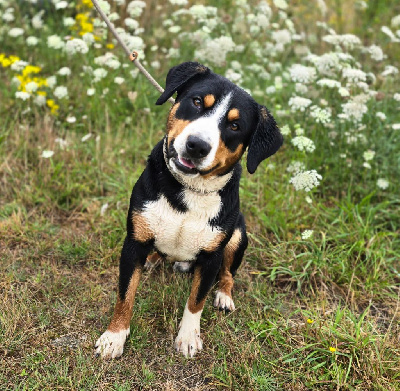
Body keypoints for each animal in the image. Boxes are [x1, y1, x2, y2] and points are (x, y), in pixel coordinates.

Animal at [94, 62, 282, 360]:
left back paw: (224, 296)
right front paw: (115, 337)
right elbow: (125, 295)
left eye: (235, 125)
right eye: (197, 102)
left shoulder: (212, 256)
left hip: (238, 235)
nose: (197, 145)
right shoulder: (133, 244)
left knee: (228, 274)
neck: (189, 190)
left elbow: (196, 301)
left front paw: (188, 337)